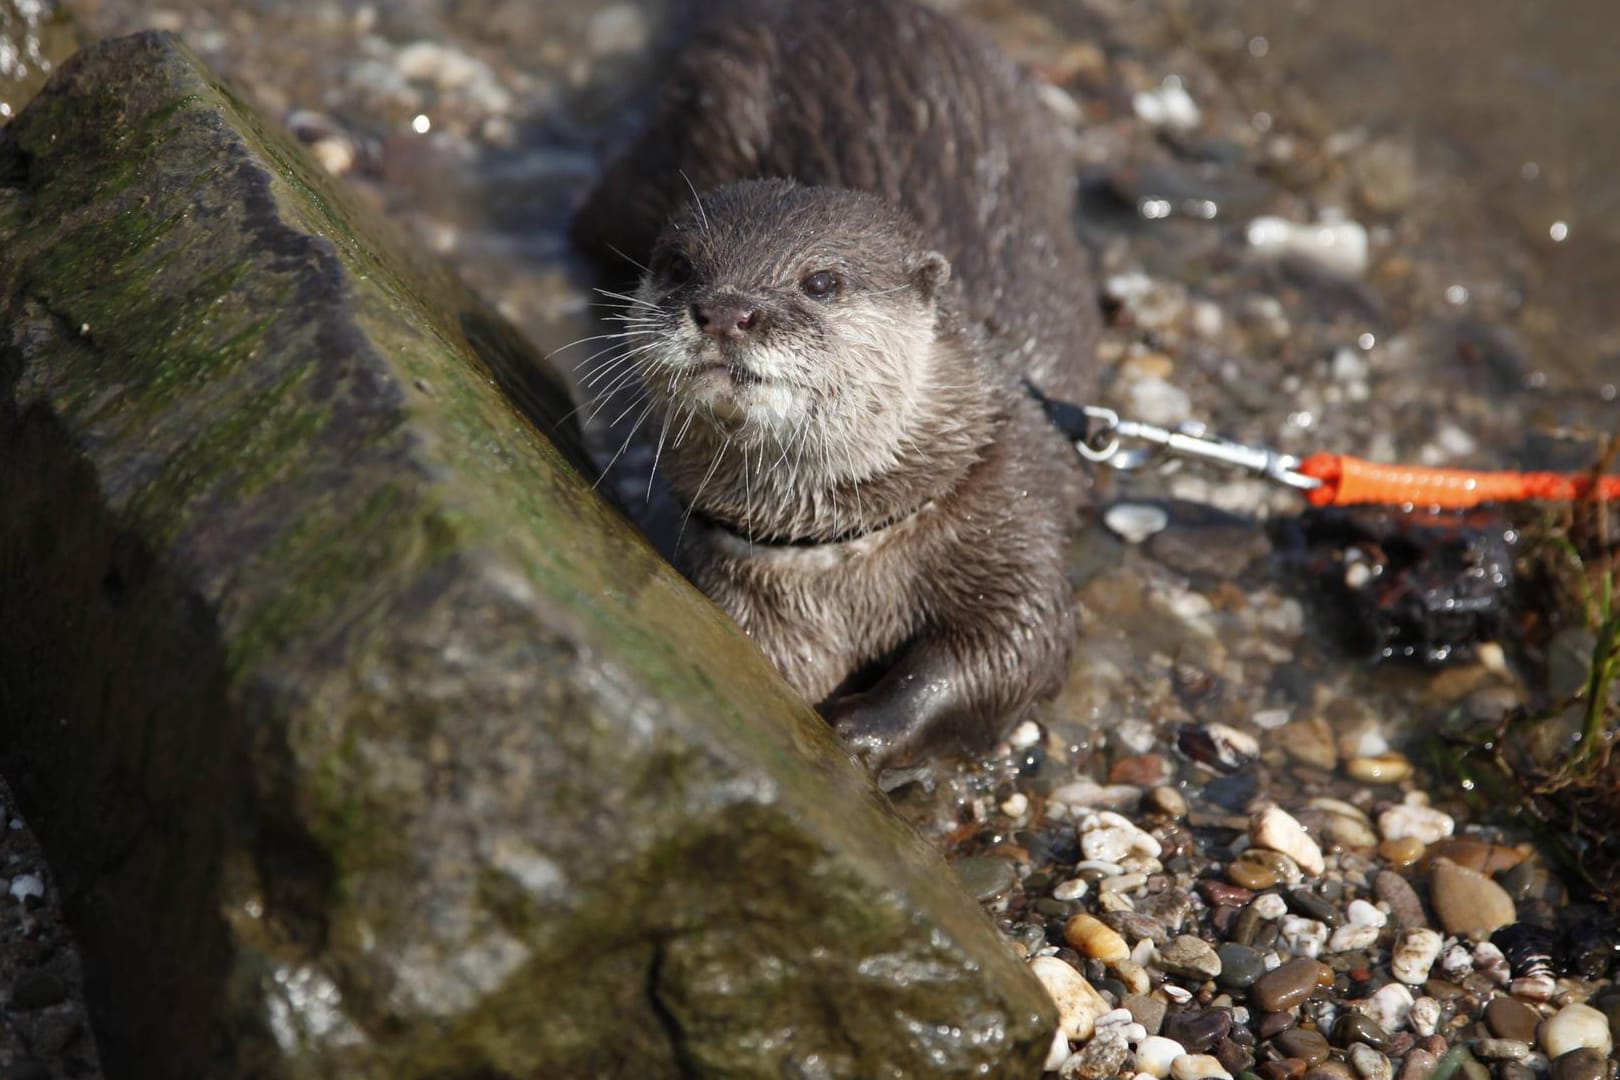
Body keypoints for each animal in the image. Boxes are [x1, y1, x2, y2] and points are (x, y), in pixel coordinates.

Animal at [573, 0, 1101, 767]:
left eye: (820, 281)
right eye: (679, 266)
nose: (726, 311)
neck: (842, 554)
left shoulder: (1009, 515)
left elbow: (1015, 647)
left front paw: (867, 730)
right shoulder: (742, 580)